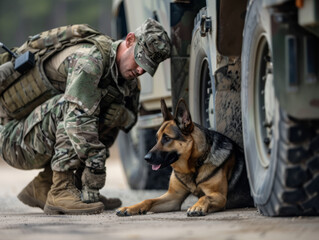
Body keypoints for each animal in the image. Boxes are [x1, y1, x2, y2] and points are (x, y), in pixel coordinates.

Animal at [116, 98, 254, 217]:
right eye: (157, 138)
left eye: (167, 138)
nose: (146, 158)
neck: (194, 166)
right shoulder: (173, 198)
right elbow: (148, 200)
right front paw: (130, 207)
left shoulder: (220, 196)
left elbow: (204, 196)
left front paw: (197, 206)